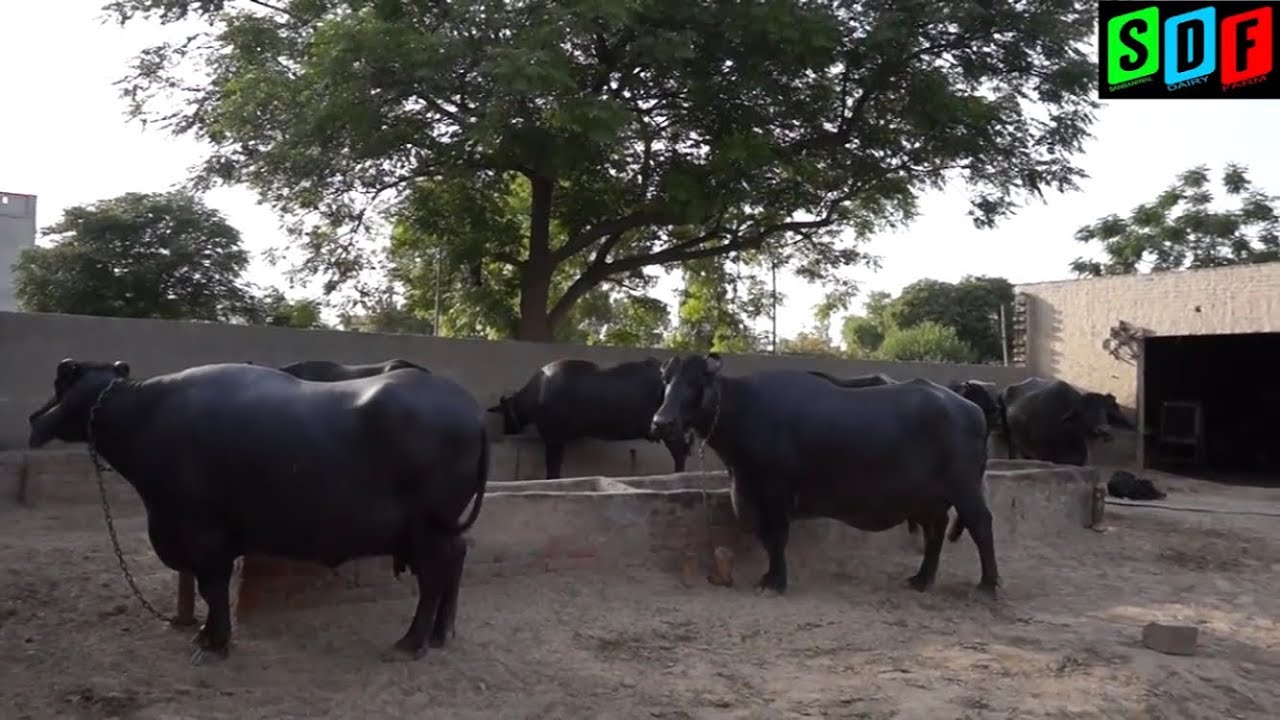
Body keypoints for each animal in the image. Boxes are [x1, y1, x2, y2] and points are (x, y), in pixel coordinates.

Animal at [28, 359, 487, 663]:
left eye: (59, 383)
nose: (34, 419)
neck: (144, 414)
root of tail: (471, 410)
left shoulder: (204, 536)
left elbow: (212, 590)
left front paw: (214, 642)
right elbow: (210, 591)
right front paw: (208, 636)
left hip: (429, 531)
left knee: (434, 578)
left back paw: (412, 642)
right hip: (442, 530)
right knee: (457, 561)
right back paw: (442, 633)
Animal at [489, 357, 690, 479]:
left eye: (505, 413)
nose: (507, 431)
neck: (537, 393)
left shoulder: (554, 439)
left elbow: (553, 469)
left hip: (669, 428)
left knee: (680, 452)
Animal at [650, 353, 999, 596]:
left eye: (695, 382)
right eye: (666, 380)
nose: (661, 422)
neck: (745, 410)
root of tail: (971, 409)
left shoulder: (777, 492)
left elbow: (777, 537)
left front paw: (775, 582)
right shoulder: (751, 491)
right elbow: (766, 537)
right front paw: (769, 577)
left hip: (964, 489)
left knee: (981, 525)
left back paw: (987, 585)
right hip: (929, 498)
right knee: (935, 532)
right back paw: (922, 579)